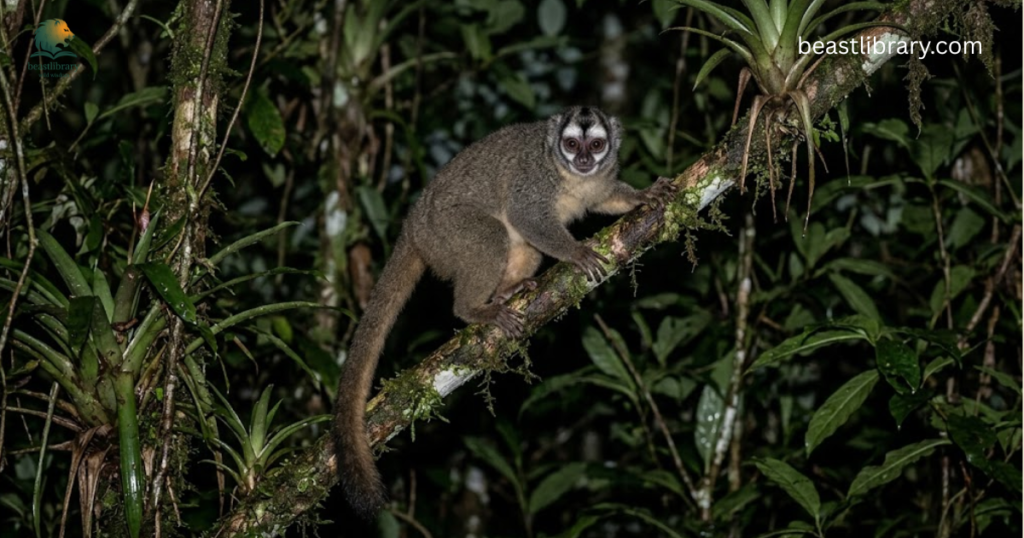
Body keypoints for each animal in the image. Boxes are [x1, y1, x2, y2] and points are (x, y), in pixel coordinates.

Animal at [333, 106, 677, 518]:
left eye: (596, 146)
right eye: (571, 144)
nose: (582, 161)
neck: (566, 174)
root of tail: (411, 228)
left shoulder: (601, 178)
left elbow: (605, 198)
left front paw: (645, 195)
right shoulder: (534, 181)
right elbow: (527, 216)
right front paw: (576, 252)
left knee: (525, 248)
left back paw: (507, 292)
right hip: (445, 233)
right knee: (492, 236)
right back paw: (474, 310)